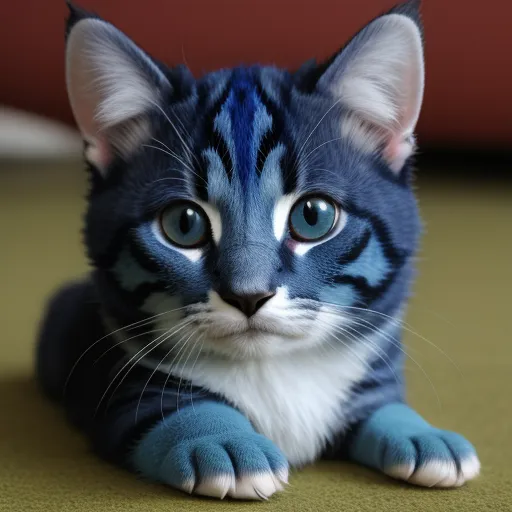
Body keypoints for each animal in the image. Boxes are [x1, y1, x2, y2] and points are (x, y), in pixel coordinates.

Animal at [37, 0, 480, 500]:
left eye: (313, 216)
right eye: (183, 223)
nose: (248, 296)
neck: (274, 370)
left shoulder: (374, 368)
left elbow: (383, 404)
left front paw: (420, 432)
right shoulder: (120, 389)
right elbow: (176, 408)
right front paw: (222, 440)